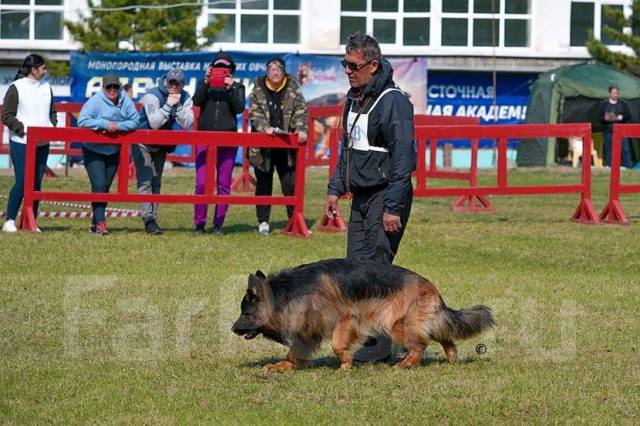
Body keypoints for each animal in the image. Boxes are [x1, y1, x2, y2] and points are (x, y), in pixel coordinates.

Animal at [231, 258, 496, 372]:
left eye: (245, 312)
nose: (232, 329)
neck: (286, 293)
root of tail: (430, 286)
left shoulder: (345, 319)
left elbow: (338, 345)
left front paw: (346, 365)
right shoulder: (309, 327)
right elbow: (295, 351)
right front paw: (283, 365)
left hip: (395, 324)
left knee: (421, 344)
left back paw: (407, 364)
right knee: (443, 337)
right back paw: (450, 359)